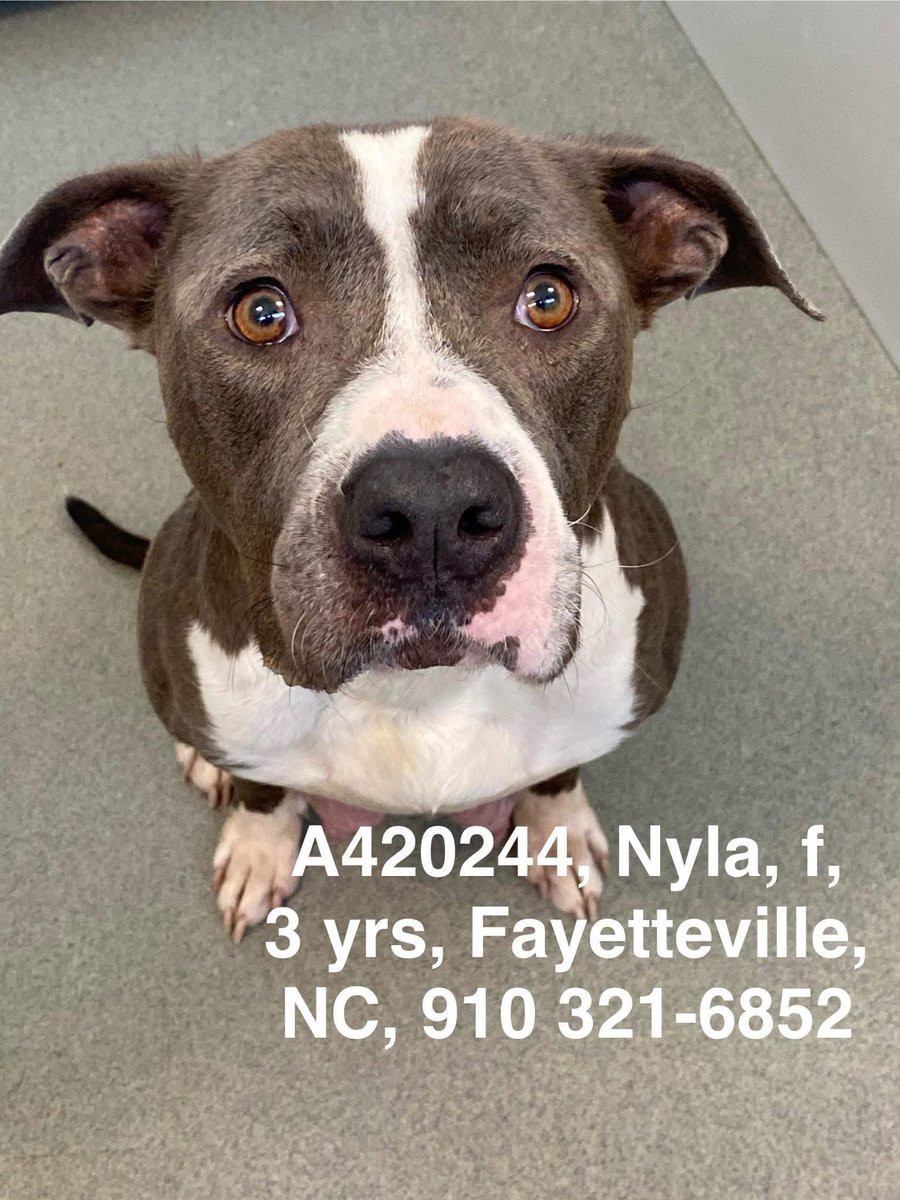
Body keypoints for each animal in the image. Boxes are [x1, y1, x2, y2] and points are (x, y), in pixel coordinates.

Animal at [0, 119, 821, 941]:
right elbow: (263, 787)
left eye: (548, 297)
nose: (434, 510)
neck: (420, 695)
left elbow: (558, 773)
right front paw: (259, 845)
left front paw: (558, 833)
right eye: (260, 313)